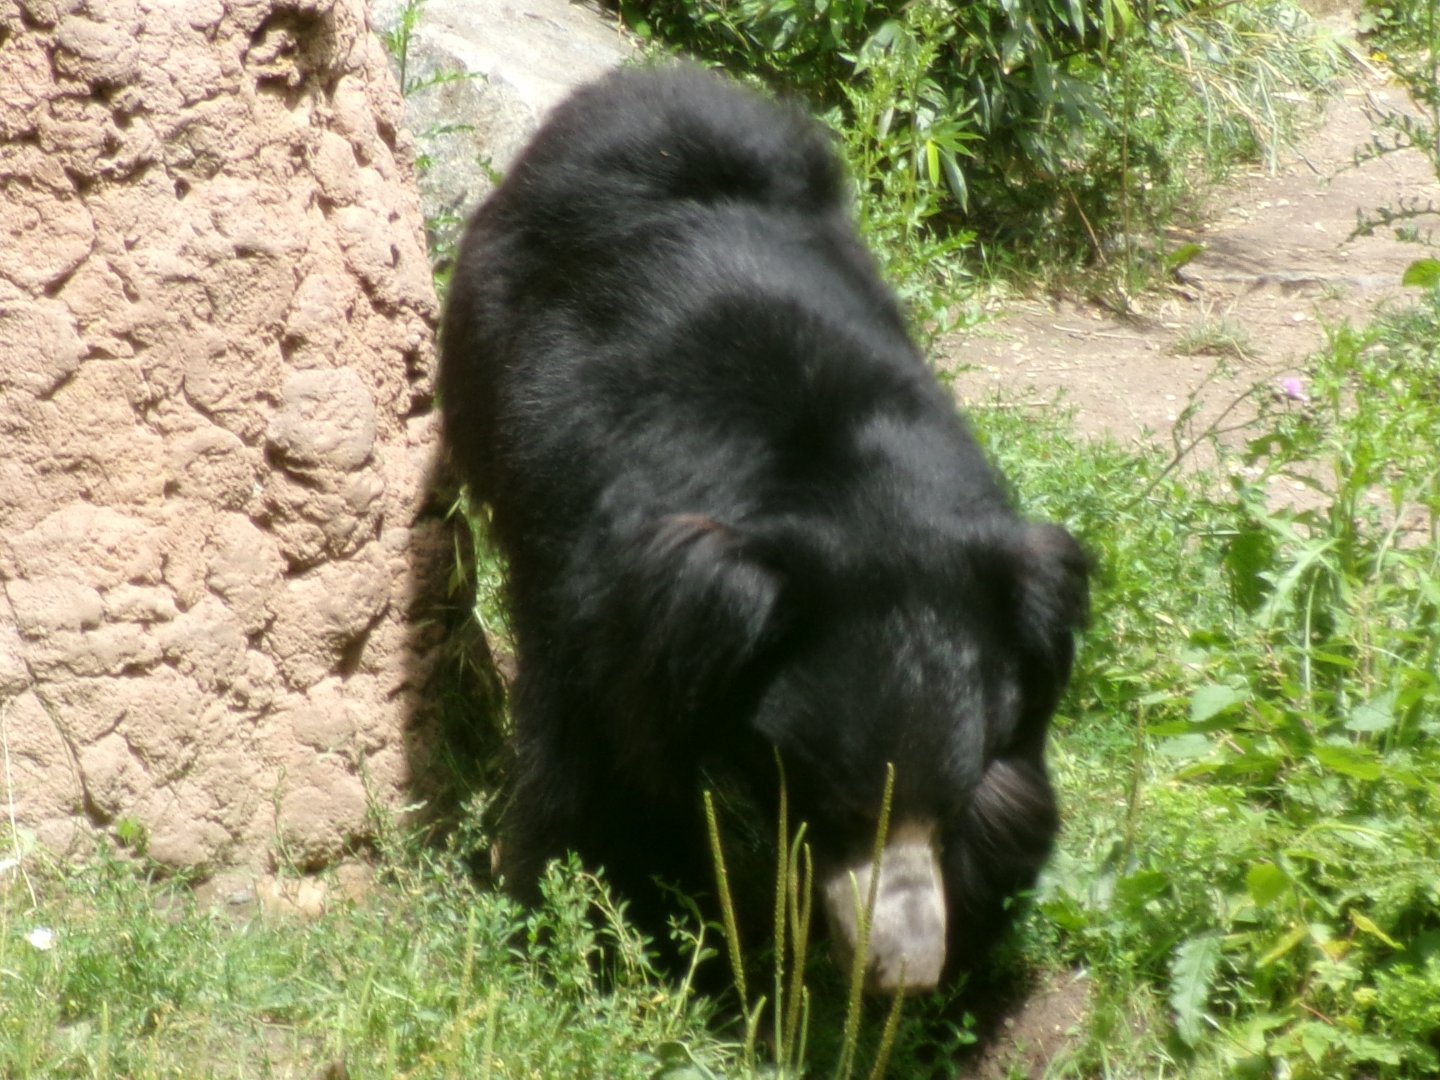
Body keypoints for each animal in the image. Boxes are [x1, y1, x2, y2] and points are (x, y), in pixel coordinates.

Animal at [438, 63, 1089, 995]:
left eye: (945, 803)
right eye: (842, 805)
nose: (903, 971)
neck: (851, 488)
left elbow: (1016, 790)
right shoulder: (615, 587)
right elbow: (611, 762)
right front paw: (626, 933)